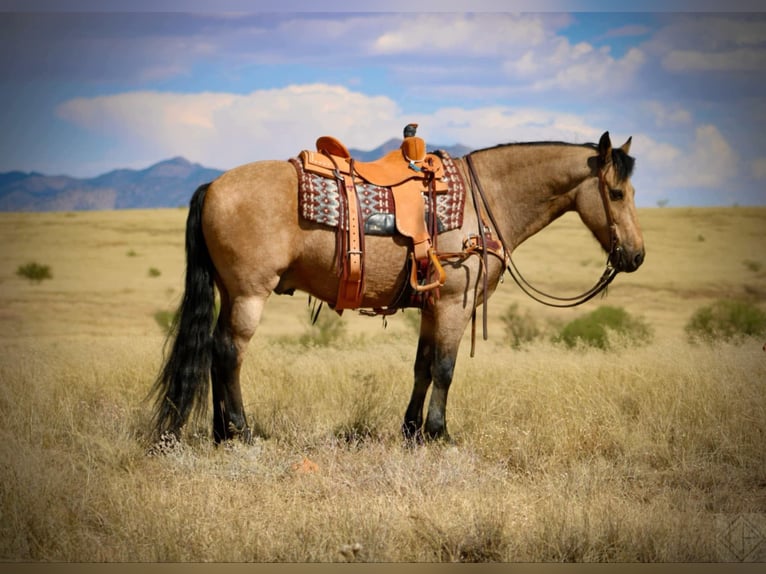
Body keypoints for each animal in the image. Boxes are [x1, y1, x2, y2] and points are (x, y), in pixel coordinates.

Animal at [148, 130, 640, 446]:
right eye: (616, 193)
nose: (635, 255)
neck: (486, 201)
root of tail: (213, 185)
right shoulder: (454, 302)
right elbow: (445, 368)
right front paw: (439, 435)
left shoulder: (431, 306)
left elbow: (422, 367)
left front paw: (411, 431)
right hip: (250, 294)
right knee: (230, 353)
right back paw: (242, 432)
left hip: (230, 292)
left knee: (214, 350)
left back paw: (220, 434)